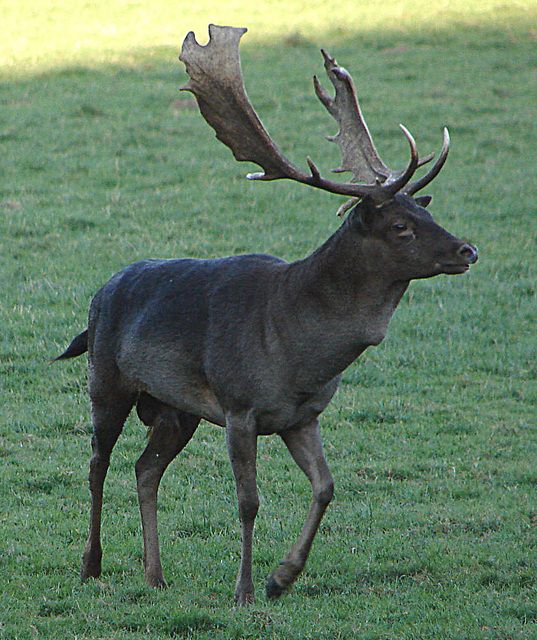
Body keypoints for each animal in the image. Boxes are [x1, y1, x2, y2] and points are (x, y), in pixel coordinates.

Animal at [56, 25, 478, 604]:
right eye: (400, 227)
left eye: (425, 210)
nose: (467, 250)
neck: (302, 351)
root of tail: (98, 296)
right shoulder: (240, 407)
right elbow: (248, 502)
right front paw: (246, 591)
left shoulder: (303, 415)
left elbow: (326, 487)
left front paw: (283, 577)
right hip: (107, 381)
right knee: (97, 464)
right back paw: (91, 565)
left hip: (176, 408)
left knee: (145, 468)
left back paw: (155, 575)